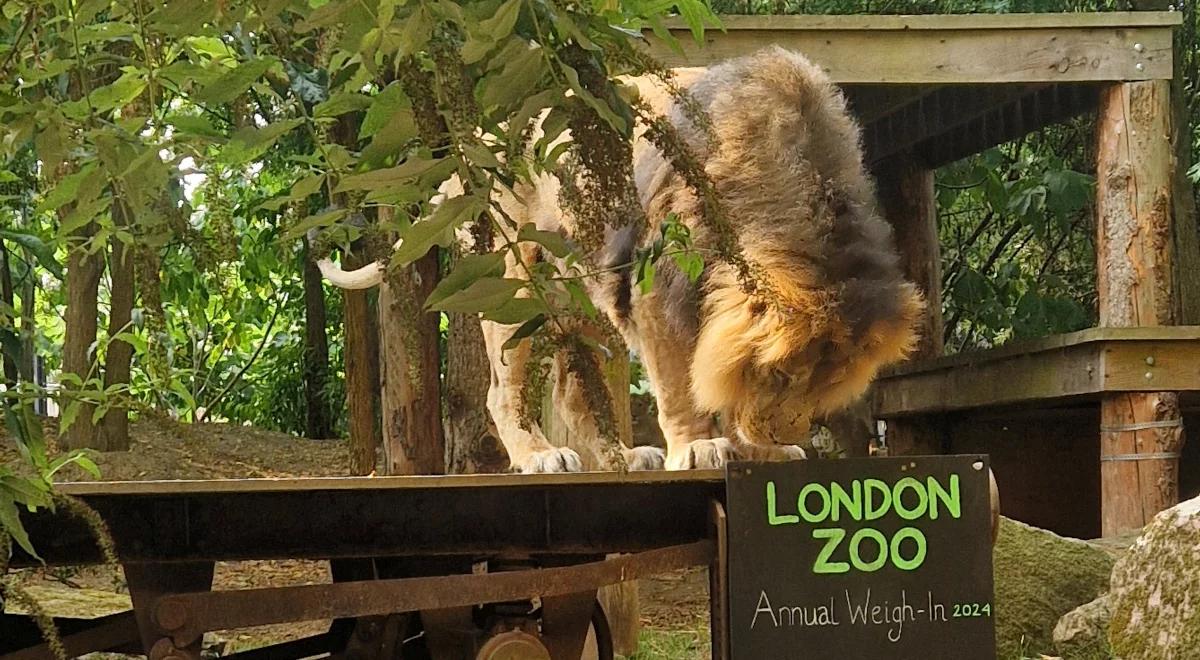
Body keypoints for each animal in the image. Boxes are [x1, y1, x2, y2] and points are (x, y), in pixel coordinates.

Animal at [314, 46, 921, 475]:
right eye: (780, 374)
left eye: (823, 385)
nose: (784, 436)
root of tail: (479, 143)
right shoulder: (659, 288)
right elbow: (682, 383)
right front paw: (699, 448)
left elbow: (716, 379)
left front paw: (757, 452)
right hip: (516, 283)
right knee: (502, 391)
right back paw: (540, 456)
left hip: (583, 294)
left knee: (574, 394)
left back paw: (621, 457)